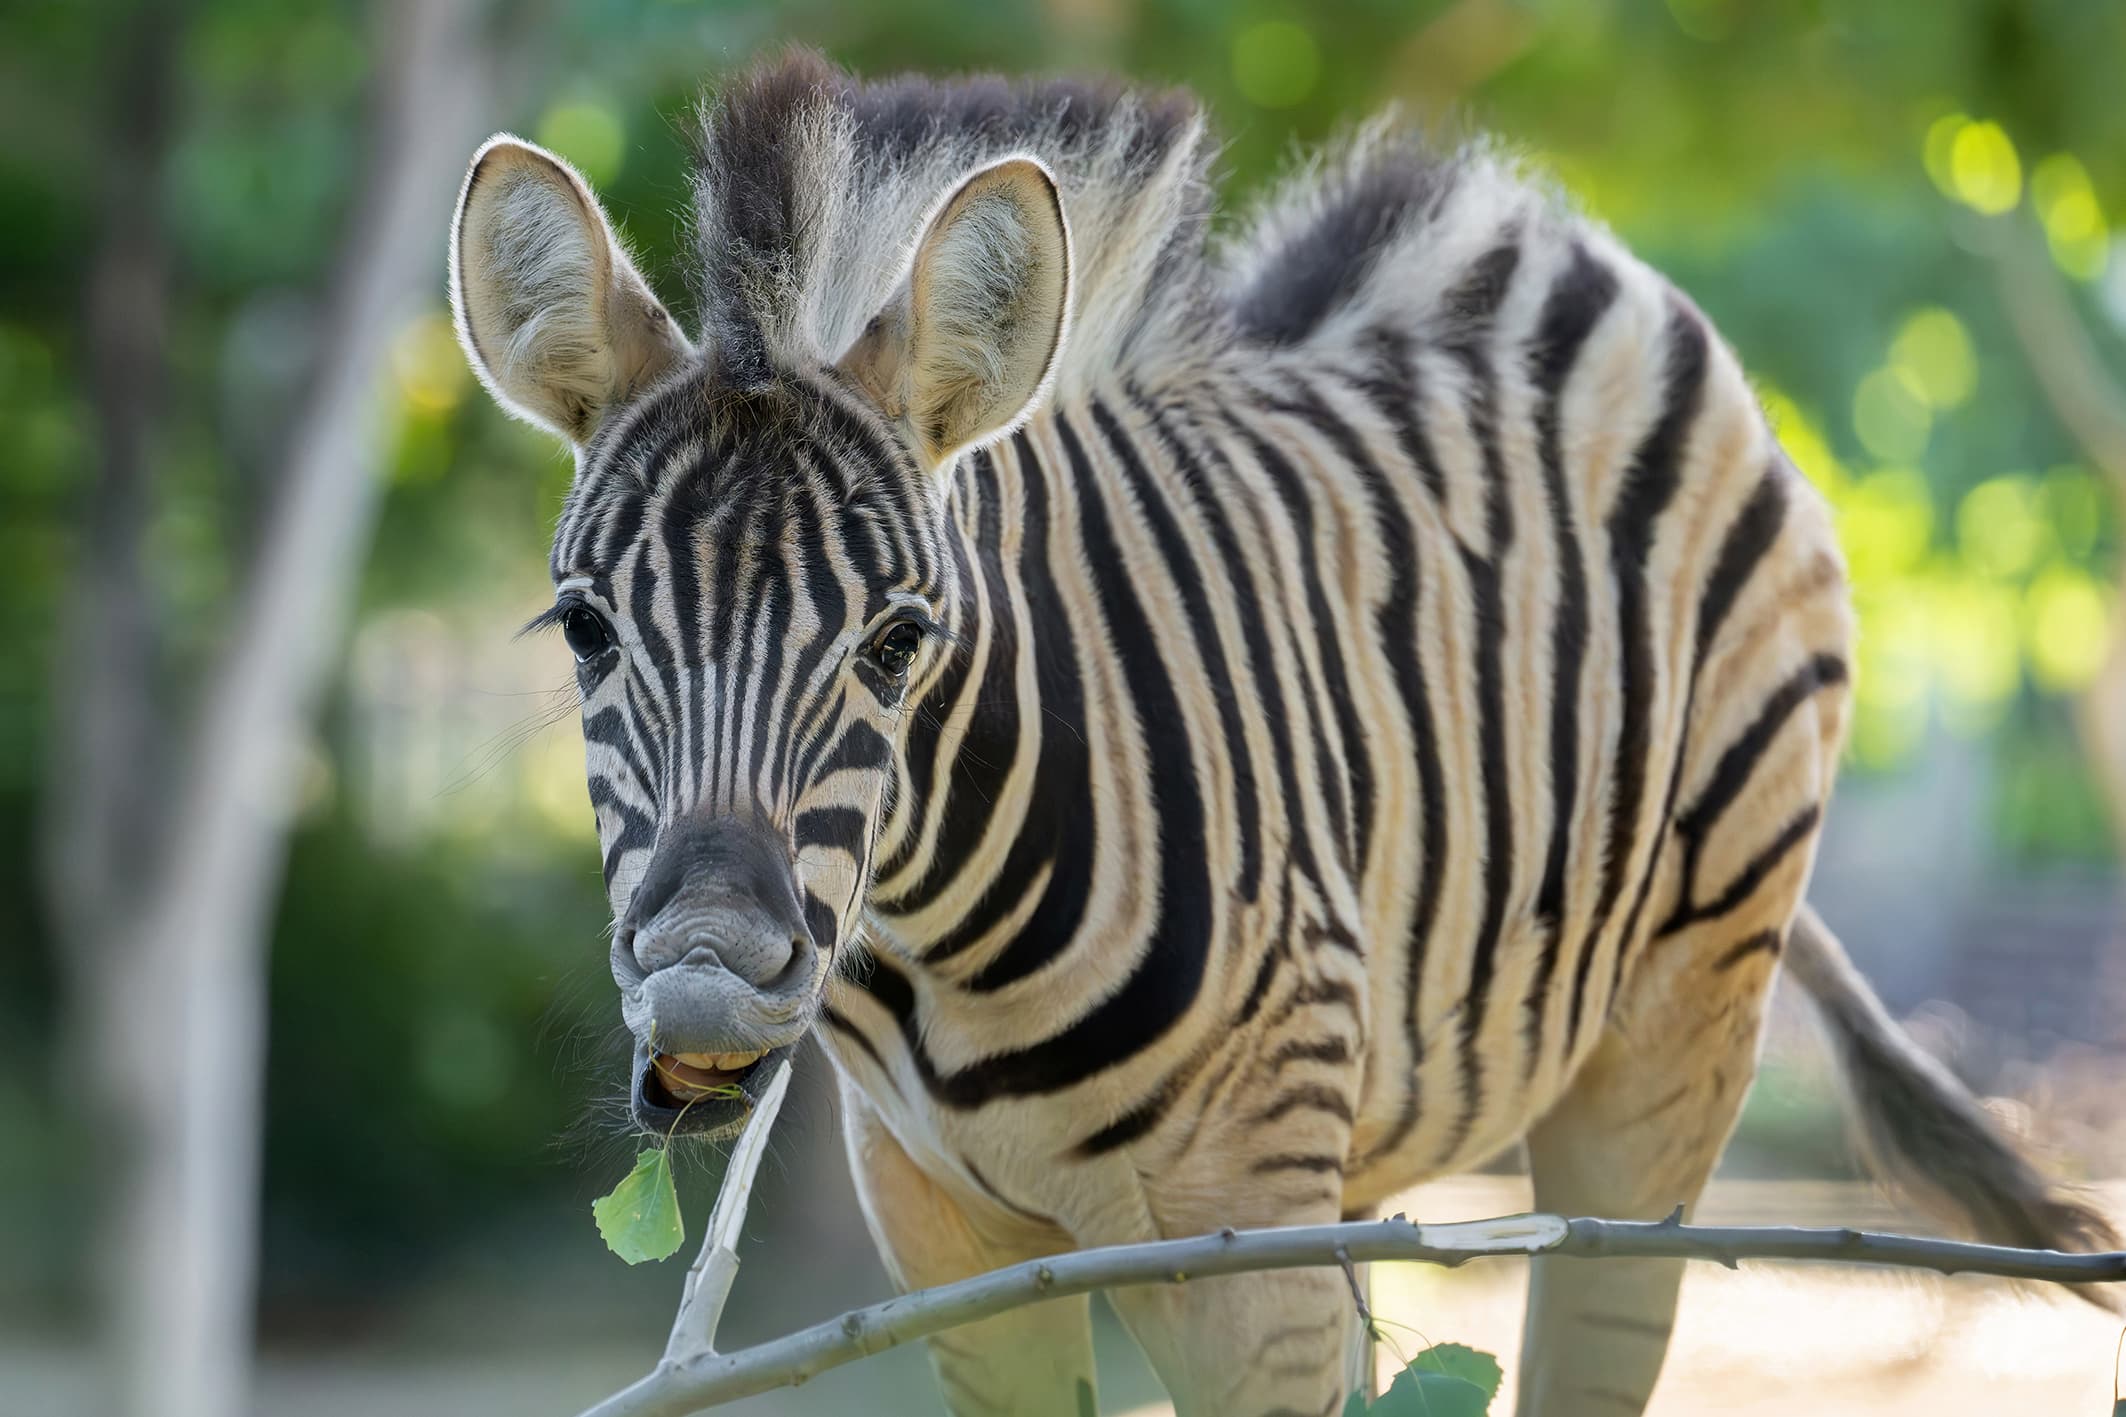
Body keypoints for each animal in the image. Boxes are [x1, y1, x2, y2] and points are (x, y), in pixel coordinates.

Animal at [447, 51, 2110, 1417]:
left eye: (898, 643)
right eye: (587, 629)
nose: (704, 989)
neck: (943, 960)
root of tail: (1572, 266)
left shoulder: (1234, 1246)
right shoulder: (945, 1238)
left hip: (1663, 1048)